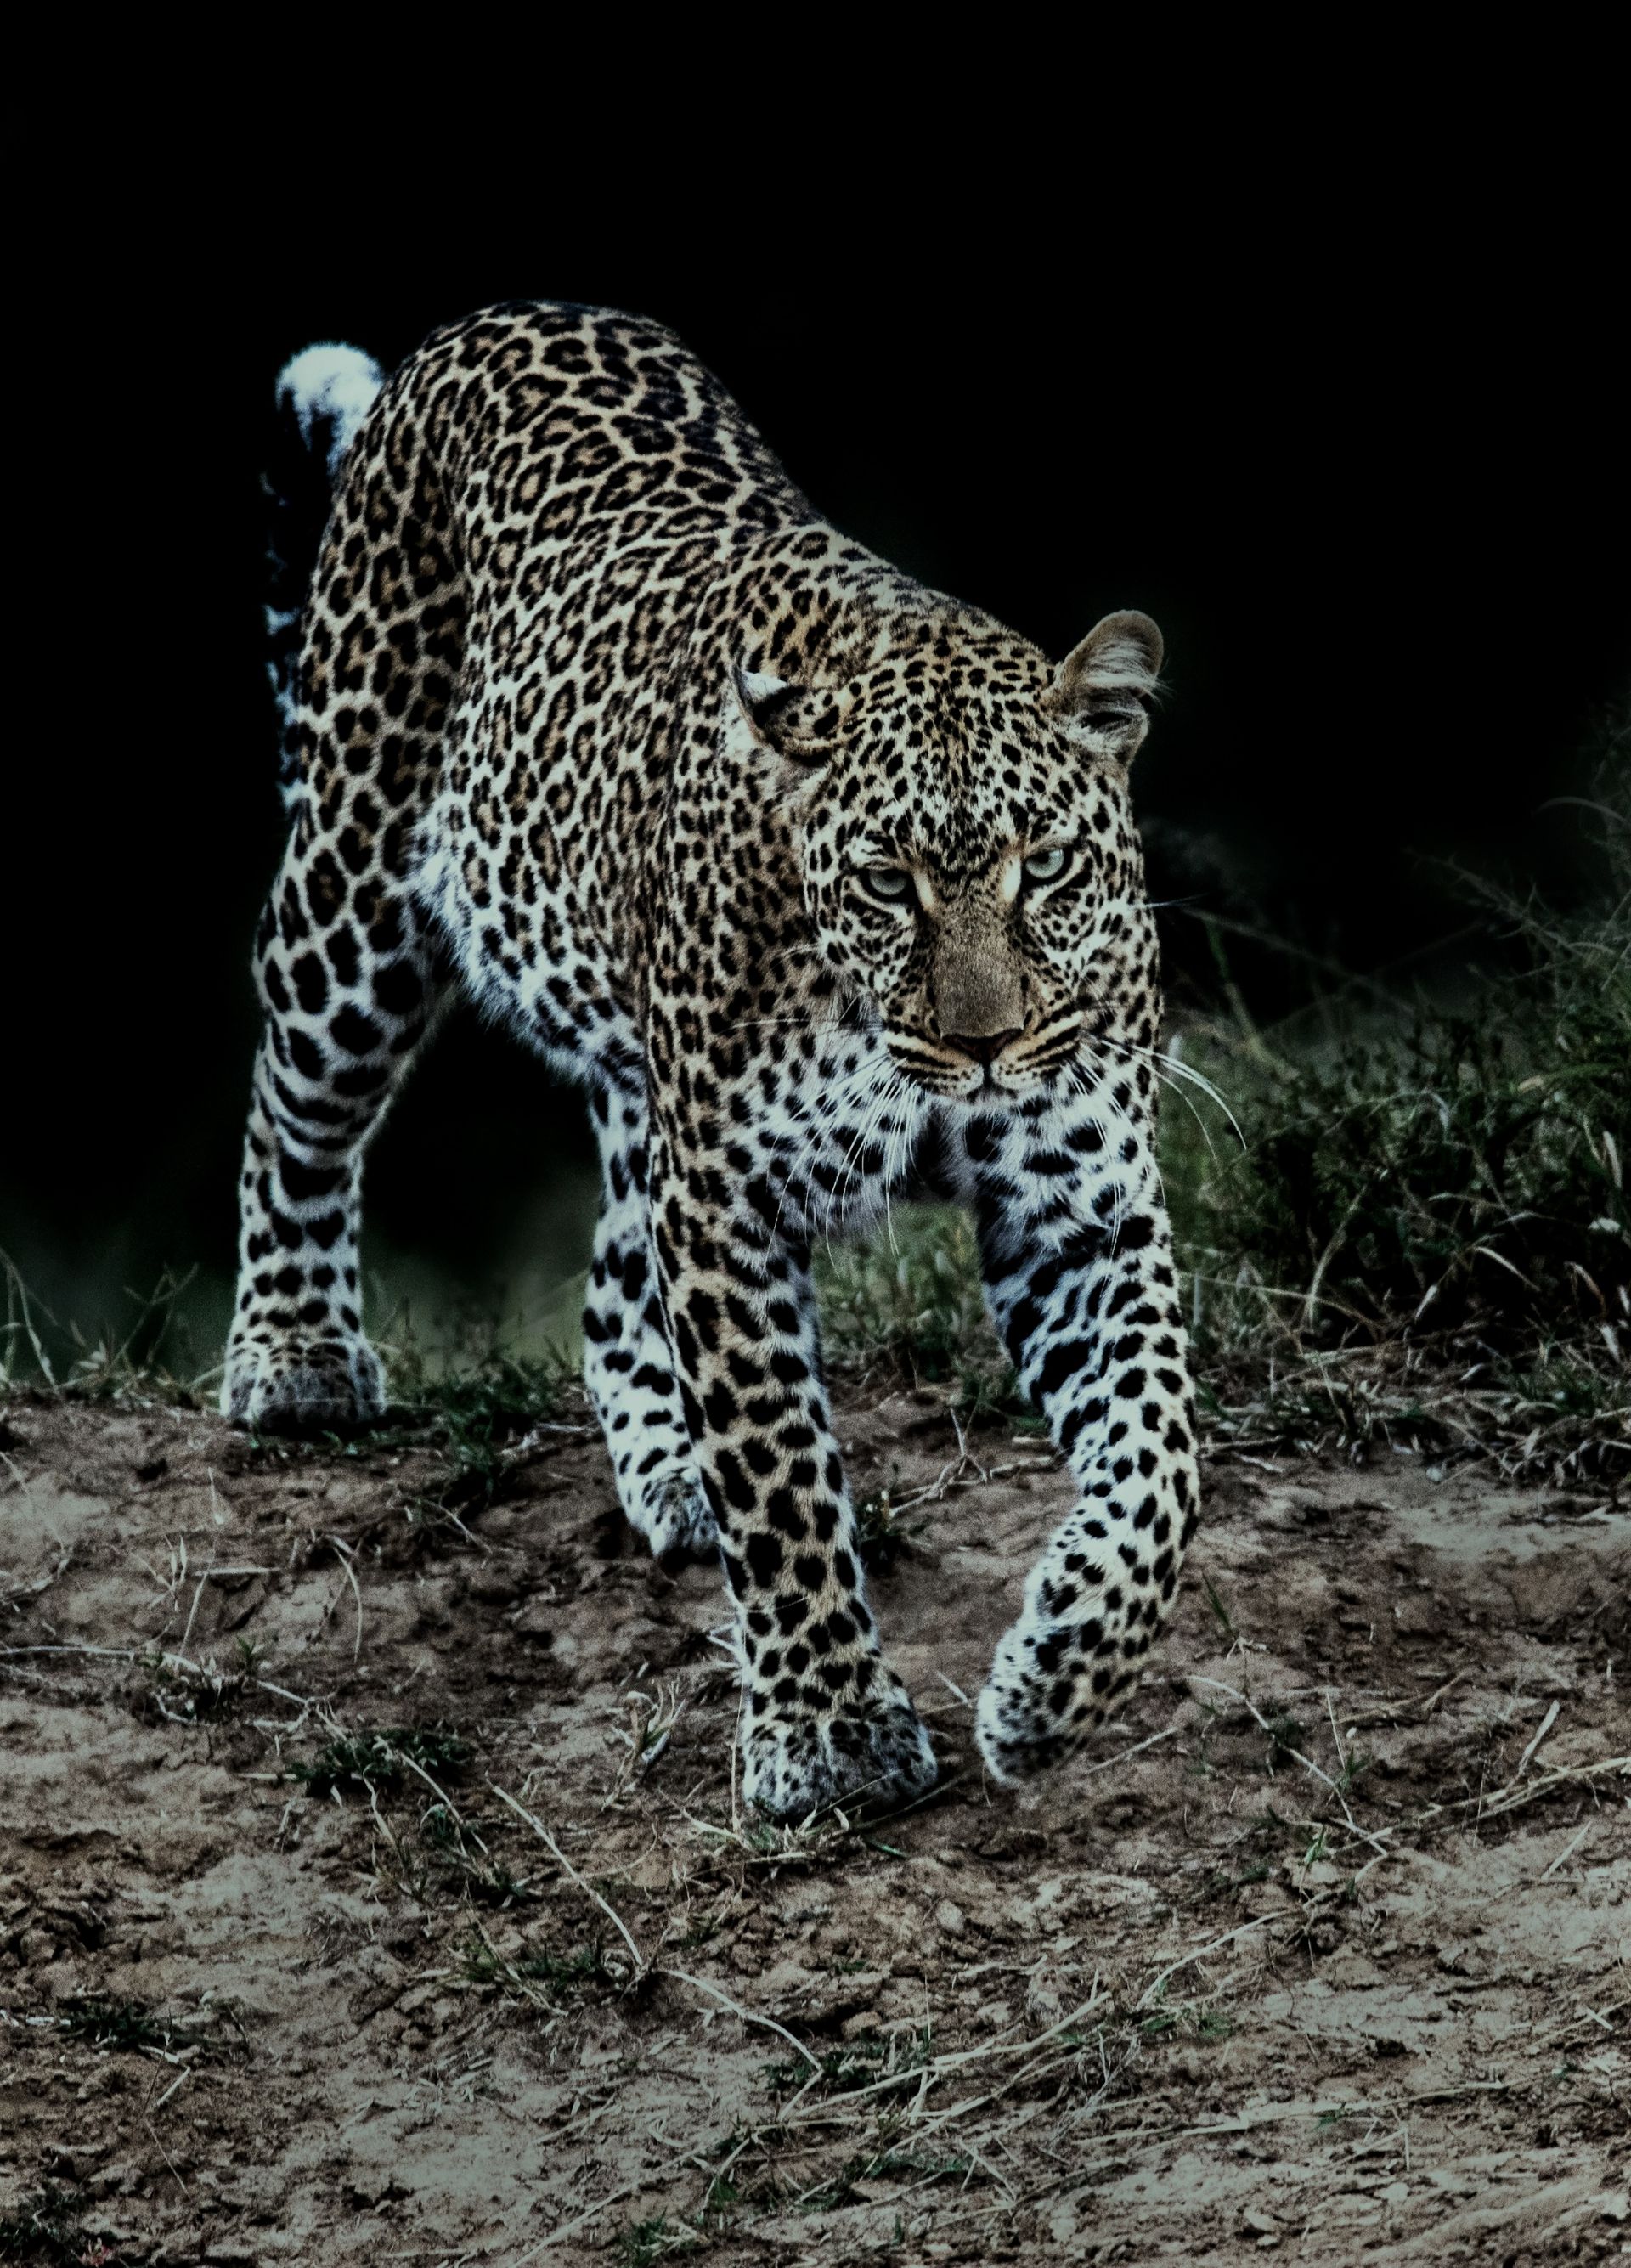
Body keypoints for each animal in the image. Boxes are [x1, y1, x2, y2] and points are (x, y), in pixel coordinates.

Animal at [224, 300, 1200, 1820]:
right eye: (887, 882)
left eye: (1044, 867)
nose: (984, 1046)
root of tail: (493, 319)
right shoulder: (733, 1202)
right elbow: (784, 1475)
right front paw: (831, 1732)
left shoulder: (1081, 1203)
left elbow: (1162, 1454)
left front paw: (1056, 1681)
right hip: (355, 895)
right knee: (297, 1114)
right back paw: (297, 1357)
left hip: (644, 1087)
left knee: (613, 1278)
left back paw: (667, 1463)